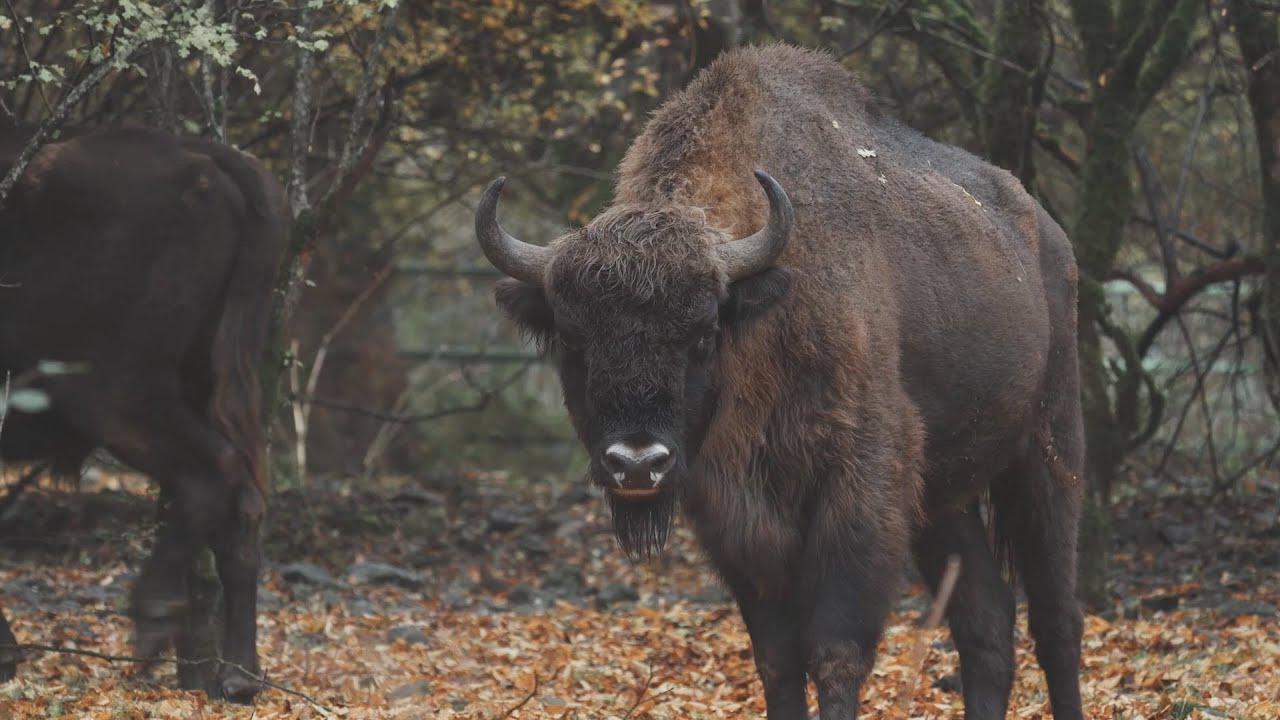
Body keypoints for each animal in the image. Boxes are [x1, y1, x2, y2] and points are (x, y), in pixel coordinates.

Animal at [0, 124, 286, 701]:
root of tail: (203, 156)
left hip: (114, 394)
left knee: (211, 471)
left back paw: (153, 618)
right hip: (202, 375)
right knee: (242, 506)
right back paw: (237, 677)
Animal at [476, 45, 1085, 719]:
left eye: (703, 332)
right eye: (573, 340)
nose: (636, 465)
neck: (759, 307)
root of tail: (1048, 235)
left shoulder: (859, 495)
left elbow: (837, 651)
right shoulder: (733, 523)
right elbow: (776, 659)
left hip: (1048, 451)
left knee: (1056, 619)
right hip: (944, 497)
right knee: (986, 617)